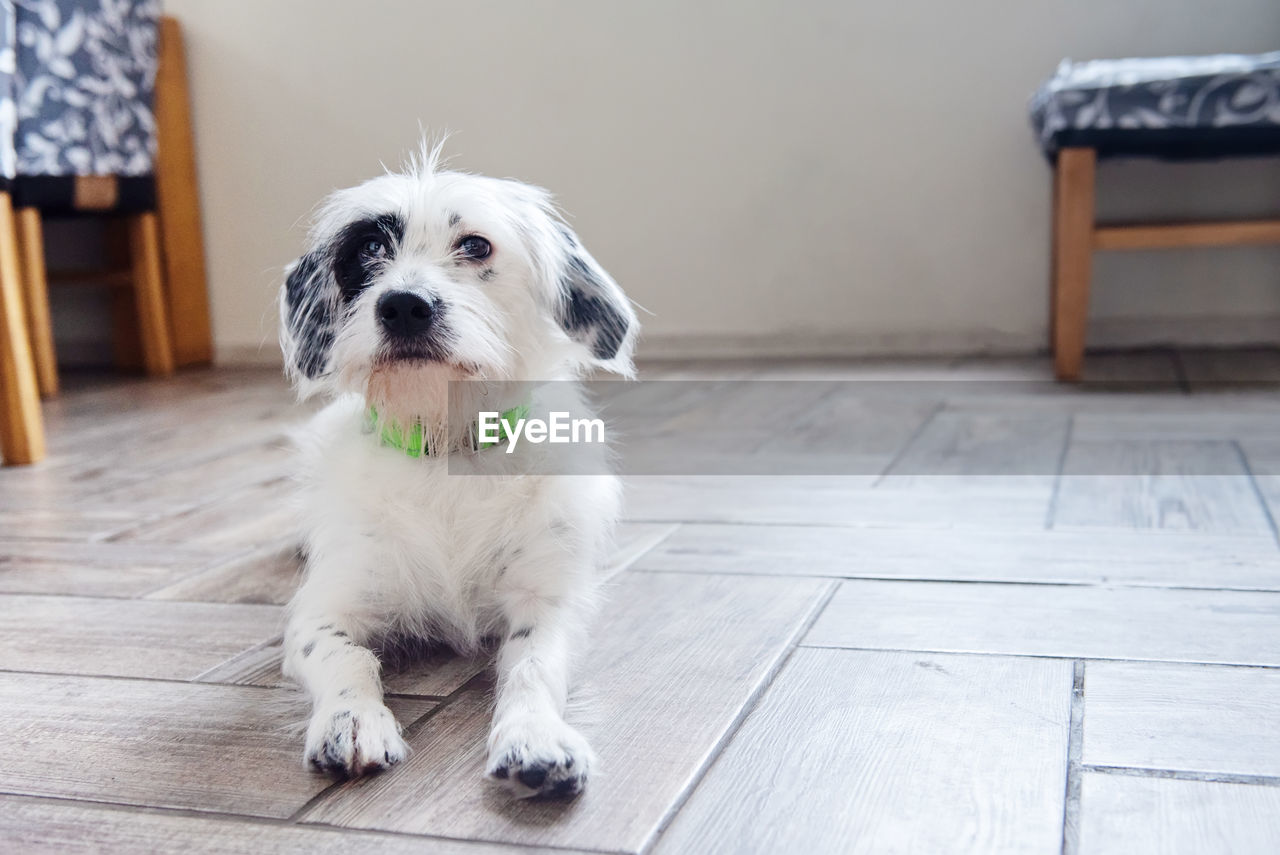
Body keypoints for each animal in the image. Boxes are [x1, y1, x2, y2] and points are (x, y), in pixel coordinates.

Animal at [281, 143, 640, 798]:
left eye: (475, 245)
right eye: (367, 250)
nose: (404, 305)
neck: (446, 447)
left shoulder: (547, 602)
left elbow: (532, 665)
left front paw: (534, 735)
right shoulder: (324, 610)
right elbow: (344, 656)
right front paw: (351, 719)